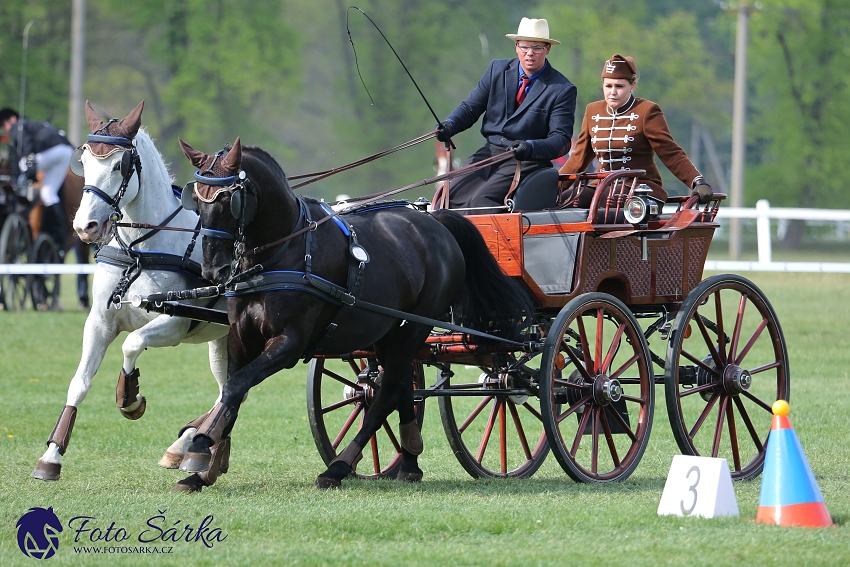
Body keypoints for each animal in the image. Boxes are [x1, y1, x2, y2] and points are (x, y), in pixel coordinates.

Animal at [30, 102, 229, 492]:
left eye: (119, 166)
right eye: (83, 161)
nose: (85, 227)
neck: (140, 251)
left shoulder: (174, 323)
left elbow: (132, 343)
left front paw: (131, 399)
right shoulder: (99, 323)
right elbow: (79, 384)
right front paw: (51, 457)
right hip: (223, 338)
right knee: (227, 390)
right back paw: (189, 446)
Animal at [177, 136, 528, 488]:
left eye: (229, 199)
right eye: (195, 199)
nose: (214, 270)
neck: (281, 253)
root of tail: (435, 221)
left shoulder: (289, 343)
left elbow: (235, 387)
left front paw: (199, 444)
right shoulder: (240, 337)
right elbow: (232, 391)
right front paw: (204, 465)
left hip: (413, 329)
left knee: (386, 394)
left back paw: (339, 466)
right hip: (390, 334)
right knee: (400, 386)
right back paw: (409, 461)